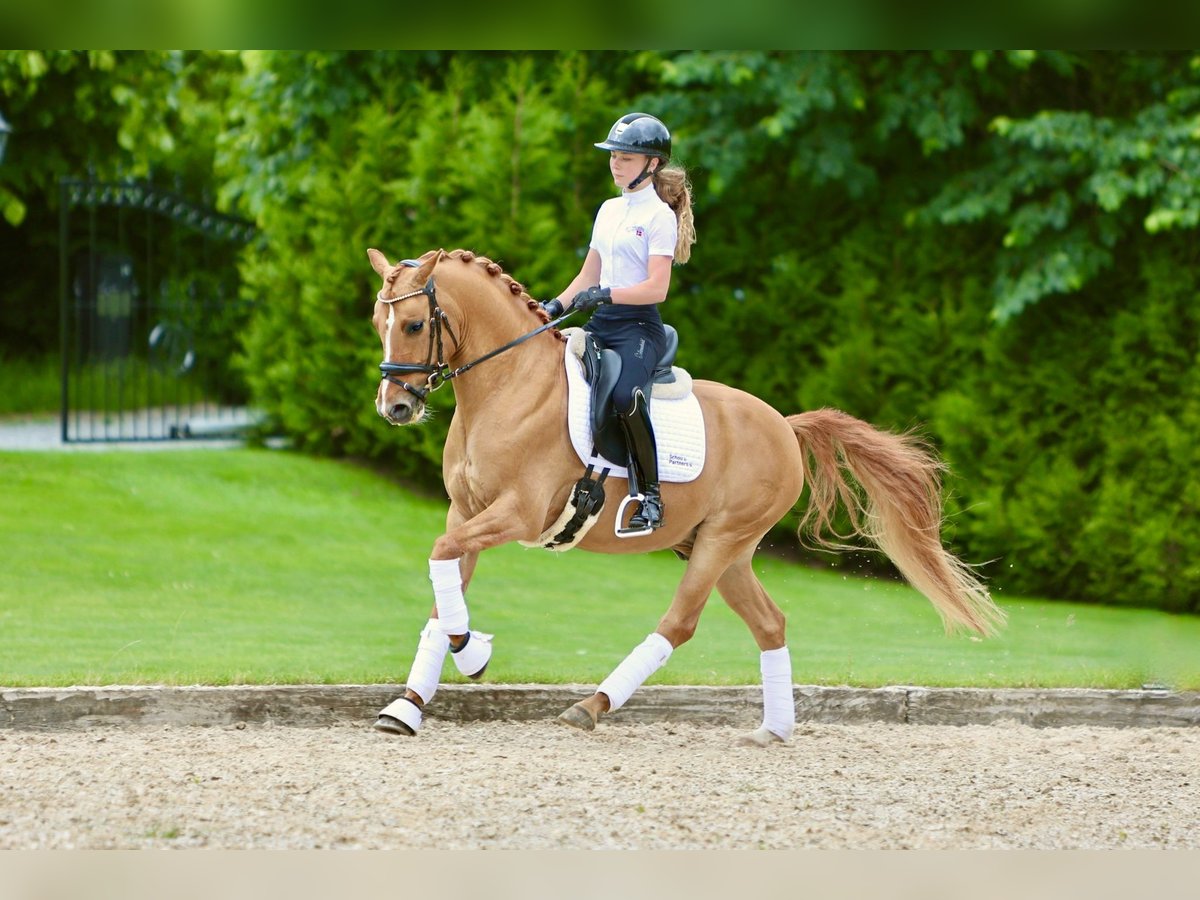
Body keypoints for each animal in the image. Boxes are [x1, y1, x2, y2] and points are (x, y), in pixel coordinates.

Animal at [364, 248, 1003, 748]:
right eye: (378, 322)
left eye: (415, 325)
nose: (395, 407)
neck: (508, 385)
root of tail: (784, 424)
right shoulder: (467, 511)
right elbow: (443, 585)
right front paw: (409, 705)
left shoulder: (516, 514)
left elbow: (440, 558)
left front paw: (474, 653)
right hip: (727, 551)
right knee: (770, 622)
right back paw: (775, 730)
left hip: (722, 540)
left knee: (680, 623)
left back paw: (591, 707)